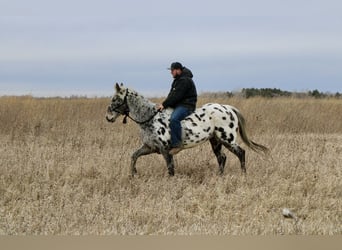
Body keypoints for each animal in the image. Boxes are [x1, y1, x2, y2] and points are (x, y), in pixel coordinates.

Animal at [105, 83, 268, 177]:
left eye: (115, 99)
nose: (108, 117)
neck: (151, 119)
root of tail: (227, 108)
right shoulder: (149, 147)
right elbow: (134, 156)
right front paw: (133, 174)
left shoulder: (165, 150)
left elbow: (170, 168)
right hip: (215, 141)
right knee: (222, 158)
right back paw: (219, 176)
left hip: (227, 139)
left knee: (241, 153)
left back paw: (243, 175)